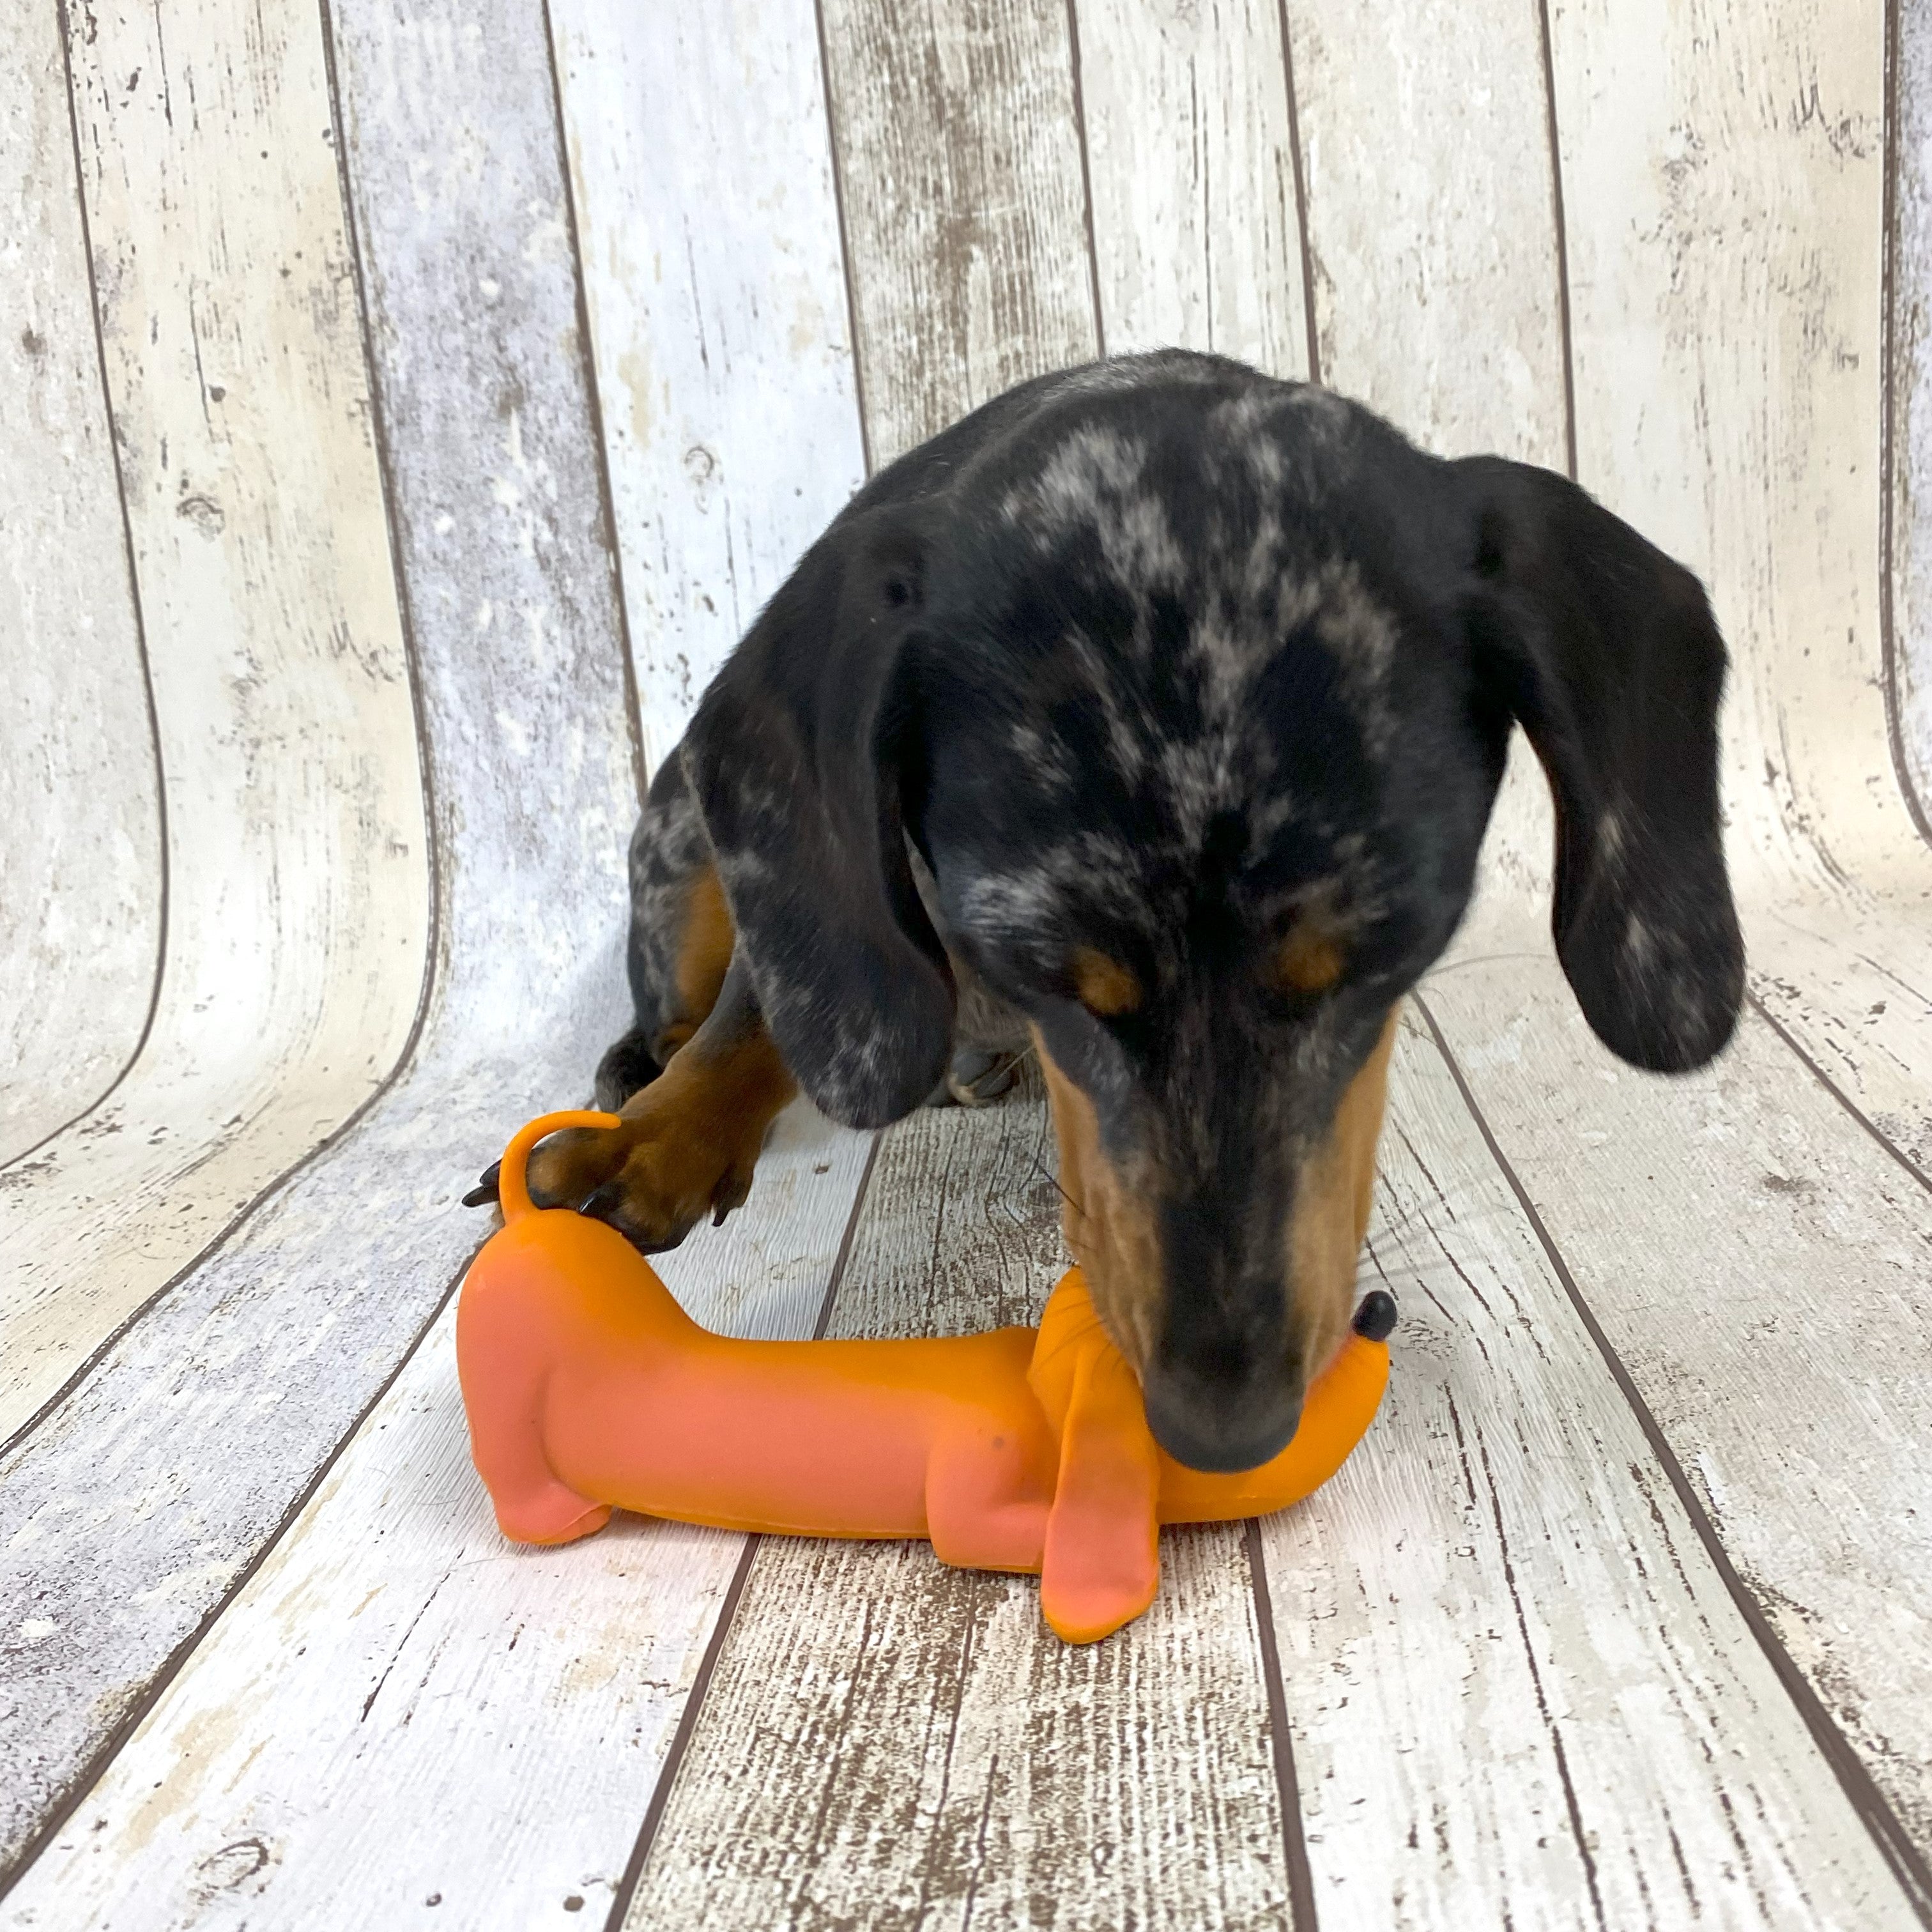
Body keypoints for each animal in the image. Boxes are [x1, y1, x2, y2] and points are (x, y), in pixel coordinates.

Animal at [467, 349, 1743, 1476]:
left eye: (1386, 959)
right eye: (1049, 977)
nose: (1223, 1432)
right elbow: (748, 1028)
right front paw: (659, 1137)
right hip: (677, 858)